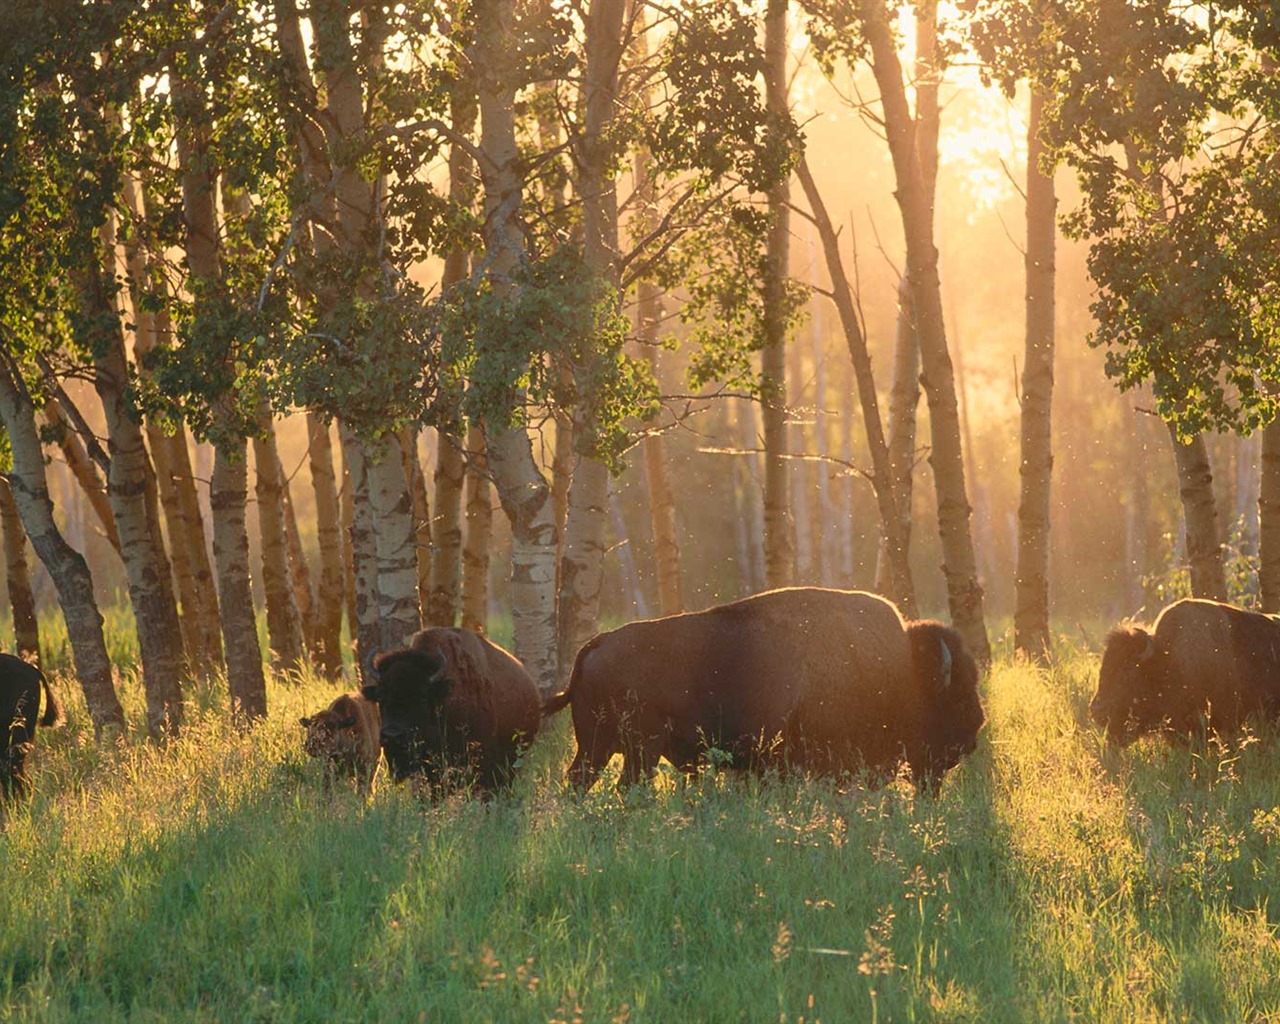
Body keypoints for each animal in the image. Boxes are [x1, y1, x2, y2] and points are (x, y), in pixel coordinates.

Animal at [545, 583, 983, 793]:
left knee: (579, 783)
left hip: (597, 748)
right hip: (639, 751)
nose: (975, 734)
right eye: (958, 696)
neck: (902, 670)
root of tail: (595, 644)